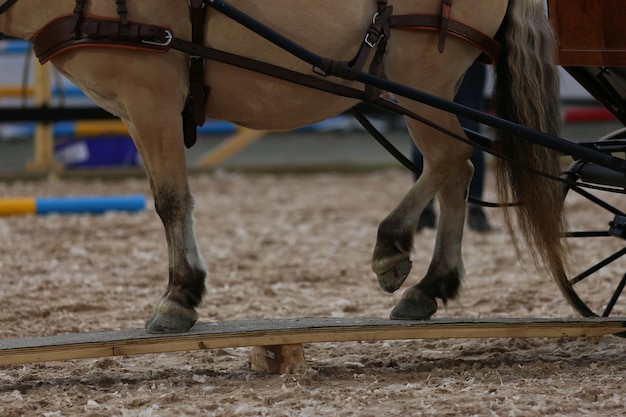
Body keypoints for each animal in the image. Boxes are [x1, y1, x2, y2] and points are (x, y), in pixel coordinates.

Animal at [1, 0, 564, 332]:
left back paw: (397, 254)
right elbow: (173, 200)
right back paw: (431, 284)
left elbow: (171, 201)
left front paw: (179, 295)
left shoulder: (151, 98)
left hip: (421, 80)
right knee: (456, 172)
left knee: (450, 160)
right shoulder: (136, 110)